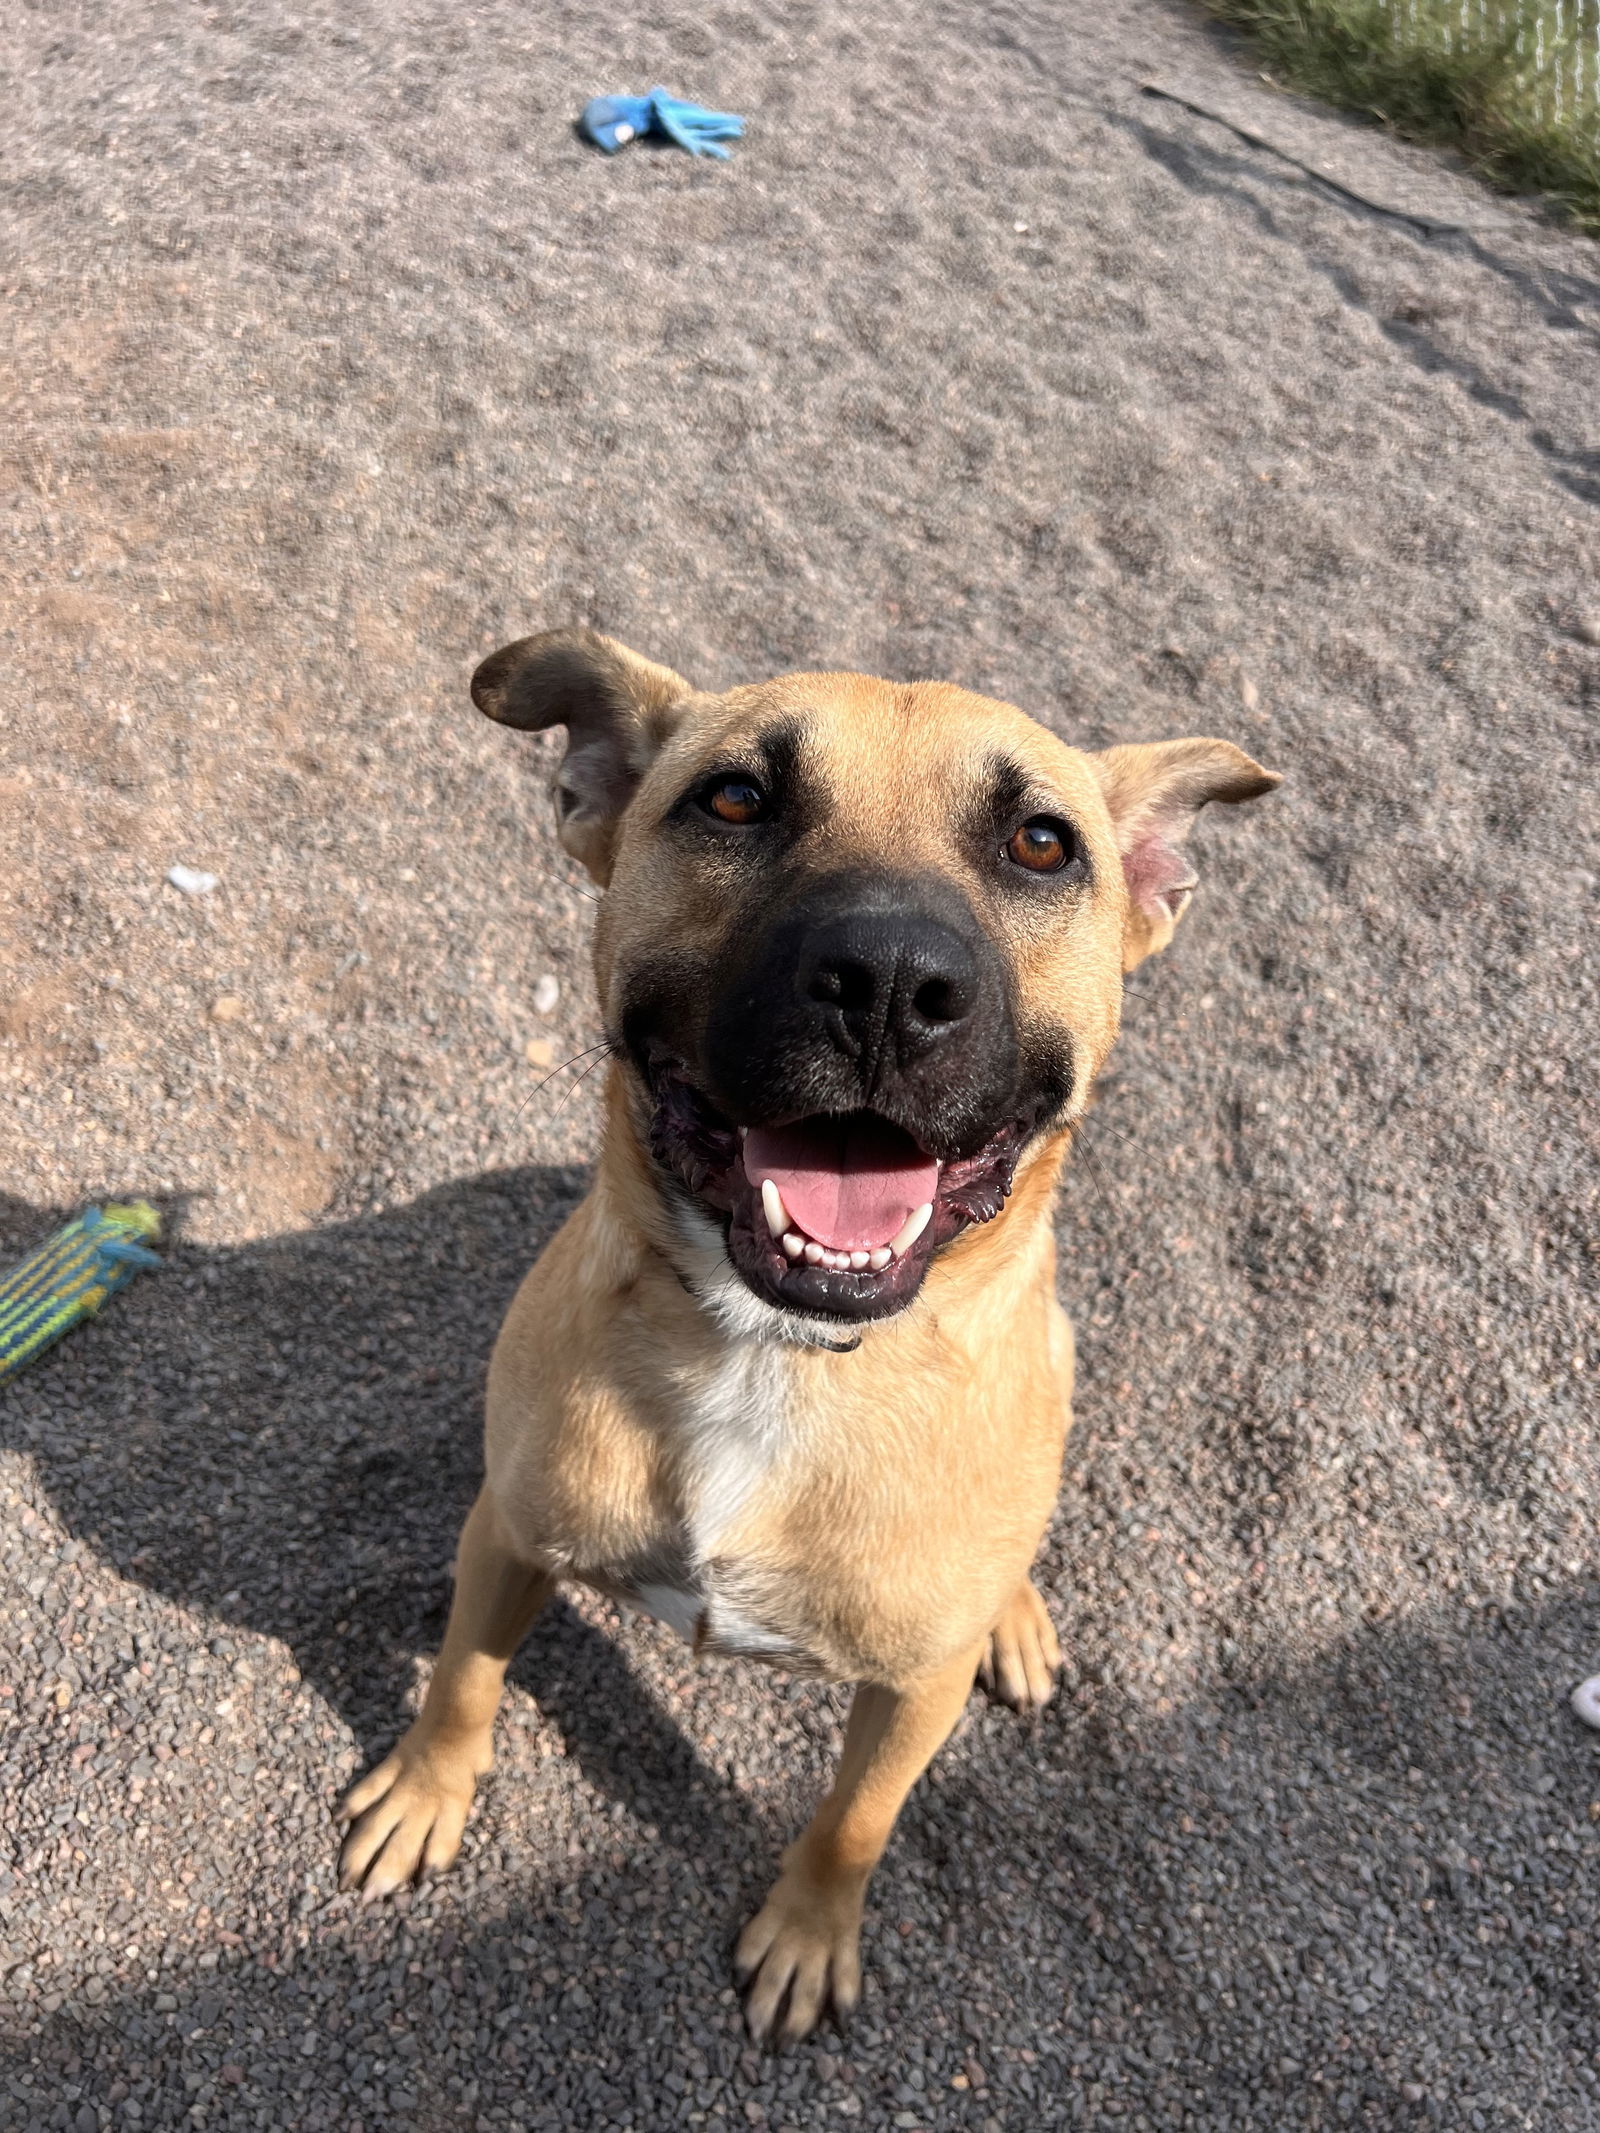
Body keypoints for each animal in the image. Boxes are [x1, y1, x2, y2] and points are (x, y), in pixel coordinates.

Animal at [339, 627, 1280, 2030]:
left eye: (1041, 844)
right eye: (734, 799)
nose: (888, 982)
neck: (771, 1356)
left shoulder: (910, 1694)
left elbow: (853, 1819)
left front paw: (806, 1932)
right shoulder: (506, 1528)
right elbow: (463, 1676)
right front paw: (424, 1790)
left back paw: (1015, 1617)